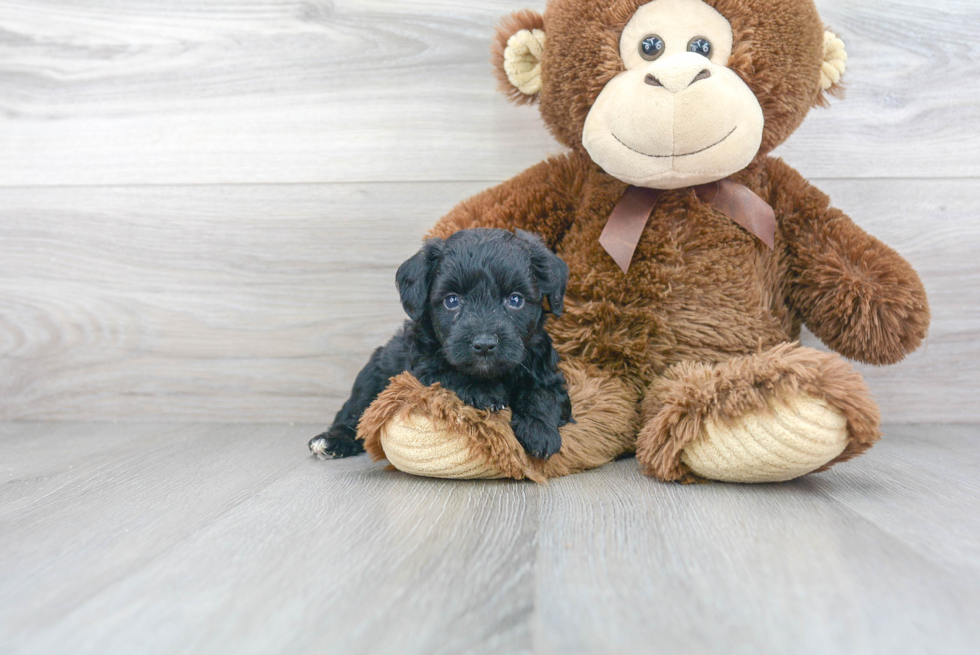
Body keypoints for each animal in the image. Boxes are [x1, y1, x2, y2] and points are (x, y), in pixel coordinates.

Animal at [310, 229, 576, 462]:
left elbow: (544, 394)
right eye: (452, 301)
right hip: (371, 377)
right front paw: (484, 391)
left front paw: (539, 430)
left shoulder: (547, 371)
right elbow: (448, 374)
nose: (484, 344)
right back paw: (330, 440)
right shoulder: (422, 371)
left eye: (516, 300)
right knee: (355, 414)